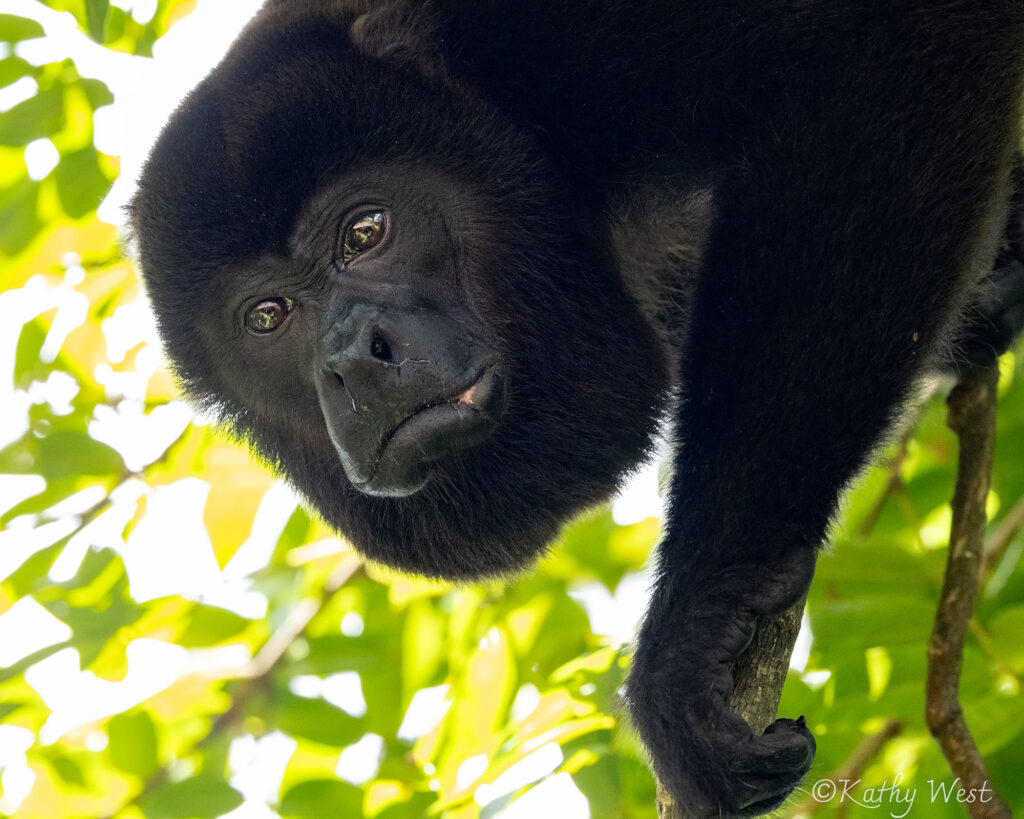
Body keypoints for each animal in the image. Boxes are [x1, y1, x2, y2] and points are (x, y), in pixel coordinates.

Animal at [131, 1, 1024, 814]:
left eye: (366, 231)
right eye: (268, 315)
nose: (352, 359)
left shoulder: (570, 45)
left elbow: (884, 54)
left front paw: (696, 619)